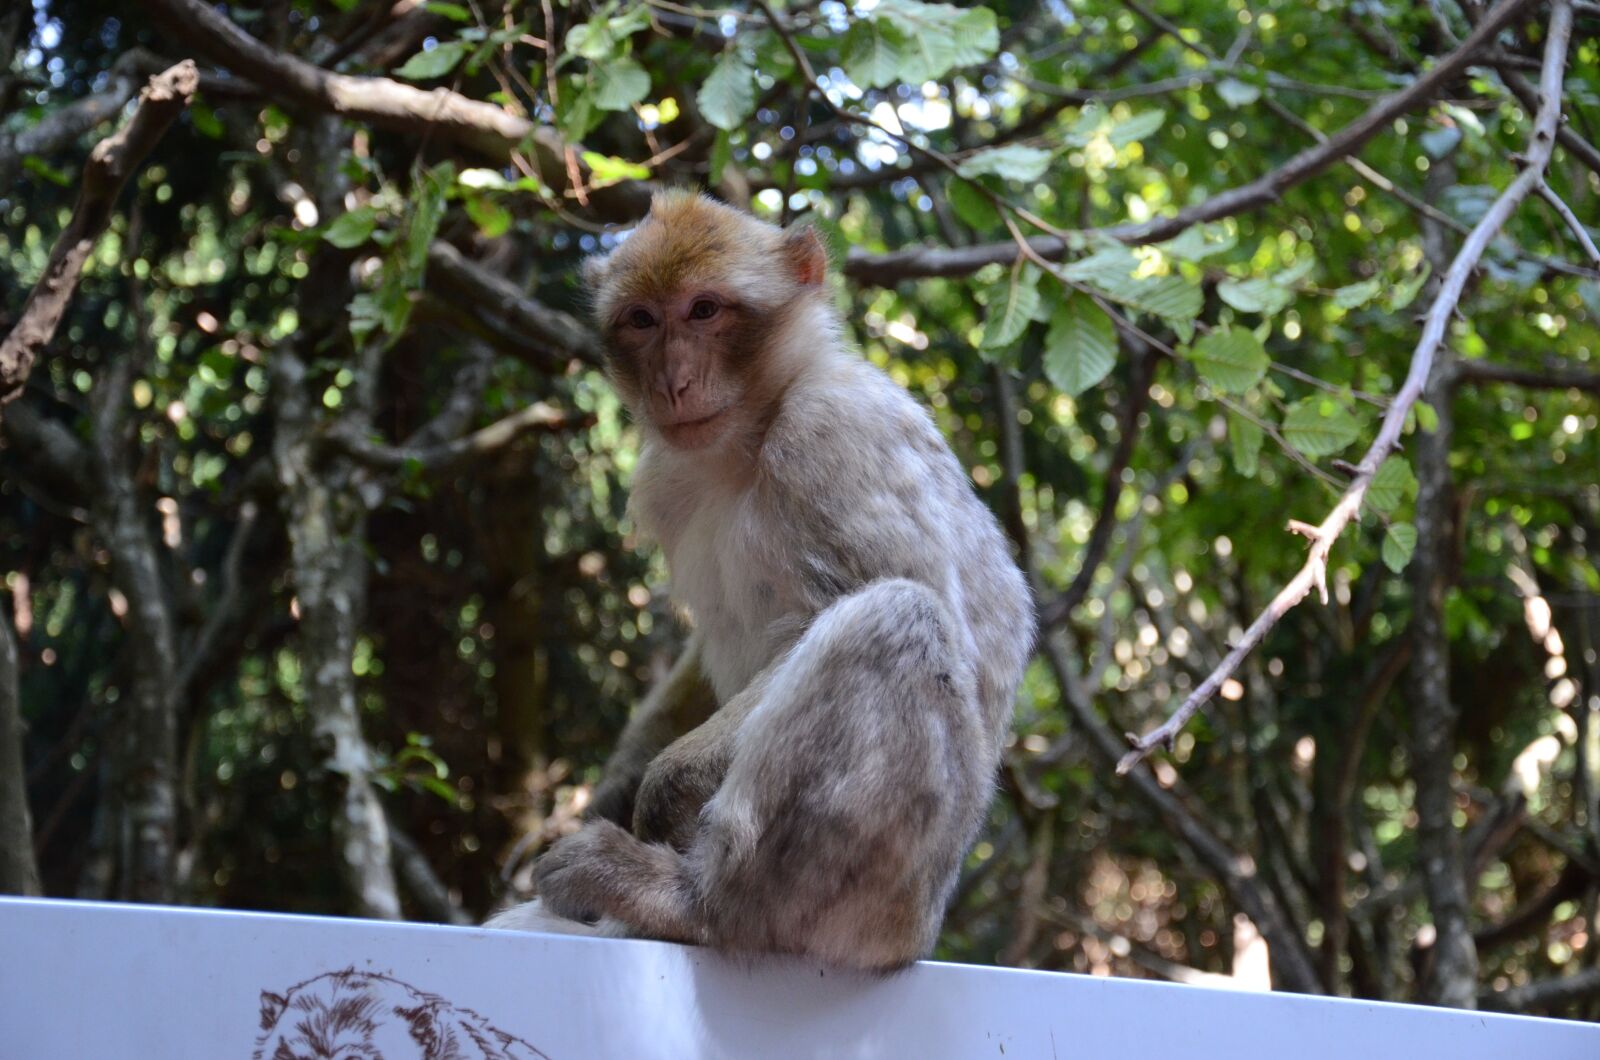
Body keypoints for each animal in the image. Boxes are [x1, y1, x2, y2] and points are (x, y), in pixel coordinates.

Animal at [487, 190, 1034, 972]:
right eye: (642, 319)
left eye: (705, 310)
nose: (673, 383)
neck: (747, 439)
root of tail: (918, 935)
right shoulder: (666, 479)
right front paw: (626, 786)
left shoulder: (834, 433)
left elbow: (904, 602)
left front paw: (662, 790)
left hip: (887, 898)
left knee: (899, 616)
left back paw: (698, 903)